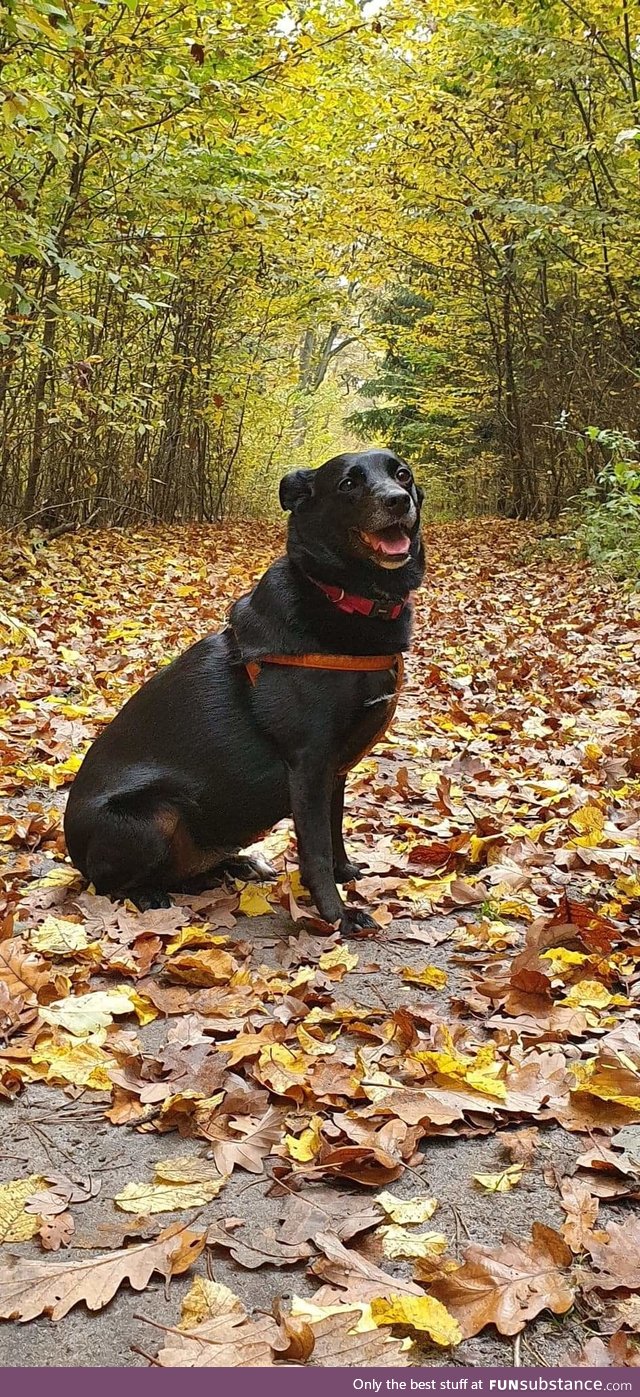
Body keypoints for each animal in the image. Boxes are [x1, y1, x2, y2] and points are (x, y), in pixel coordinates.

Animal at [63, 452, 424, 933]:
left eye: (403, 474)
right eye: (348, 484)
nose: (399, 500)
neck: (348, 599)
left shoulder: (335, 770)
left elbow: (334, 833)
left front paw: (347, 873)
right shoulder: (309, 764)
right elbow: (316, 851)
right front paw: (337, 915)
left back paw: (234, 865)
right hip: (155, 816)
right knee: (109, 885)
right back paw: (150, 894)